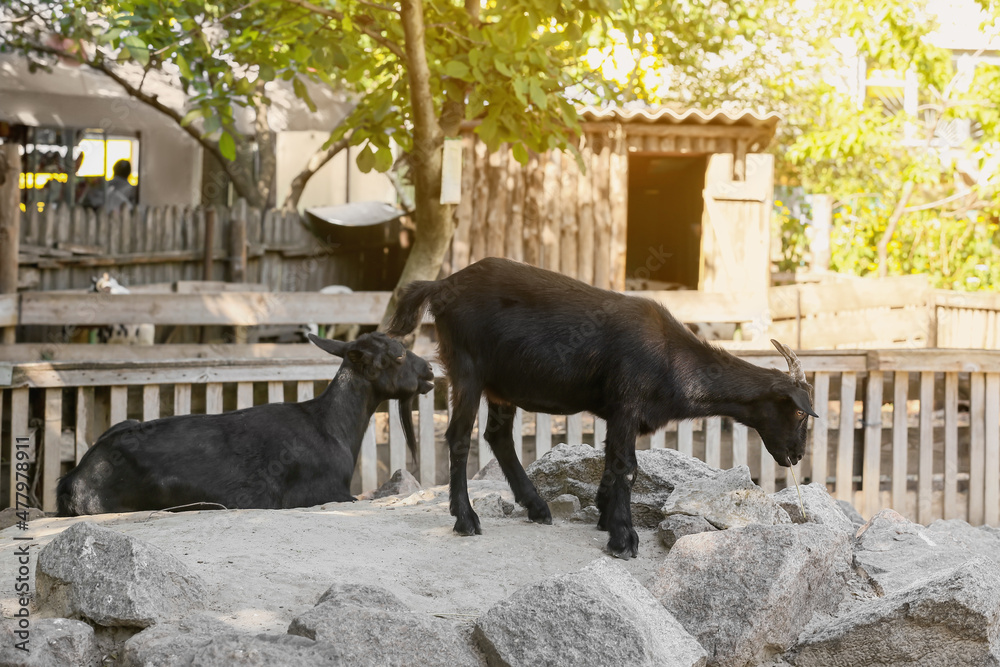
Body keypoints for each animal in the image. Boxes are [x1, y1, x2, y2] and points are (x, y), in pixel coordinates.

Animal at [386, 258, 816, 560]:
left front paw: (606, 519)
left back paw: (537, 506)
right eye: (799, 412)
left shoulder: (618, 412)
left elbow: (611, 460)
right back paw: (466, 519)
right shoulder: (627, 403)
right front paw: (624, 538)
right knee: (459, 438)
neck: (671, 357)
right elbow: (627, 467)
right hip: (468, 369)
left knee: (498, 436)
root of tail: (442, 285)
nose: (796, 455)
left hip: (501, 386)